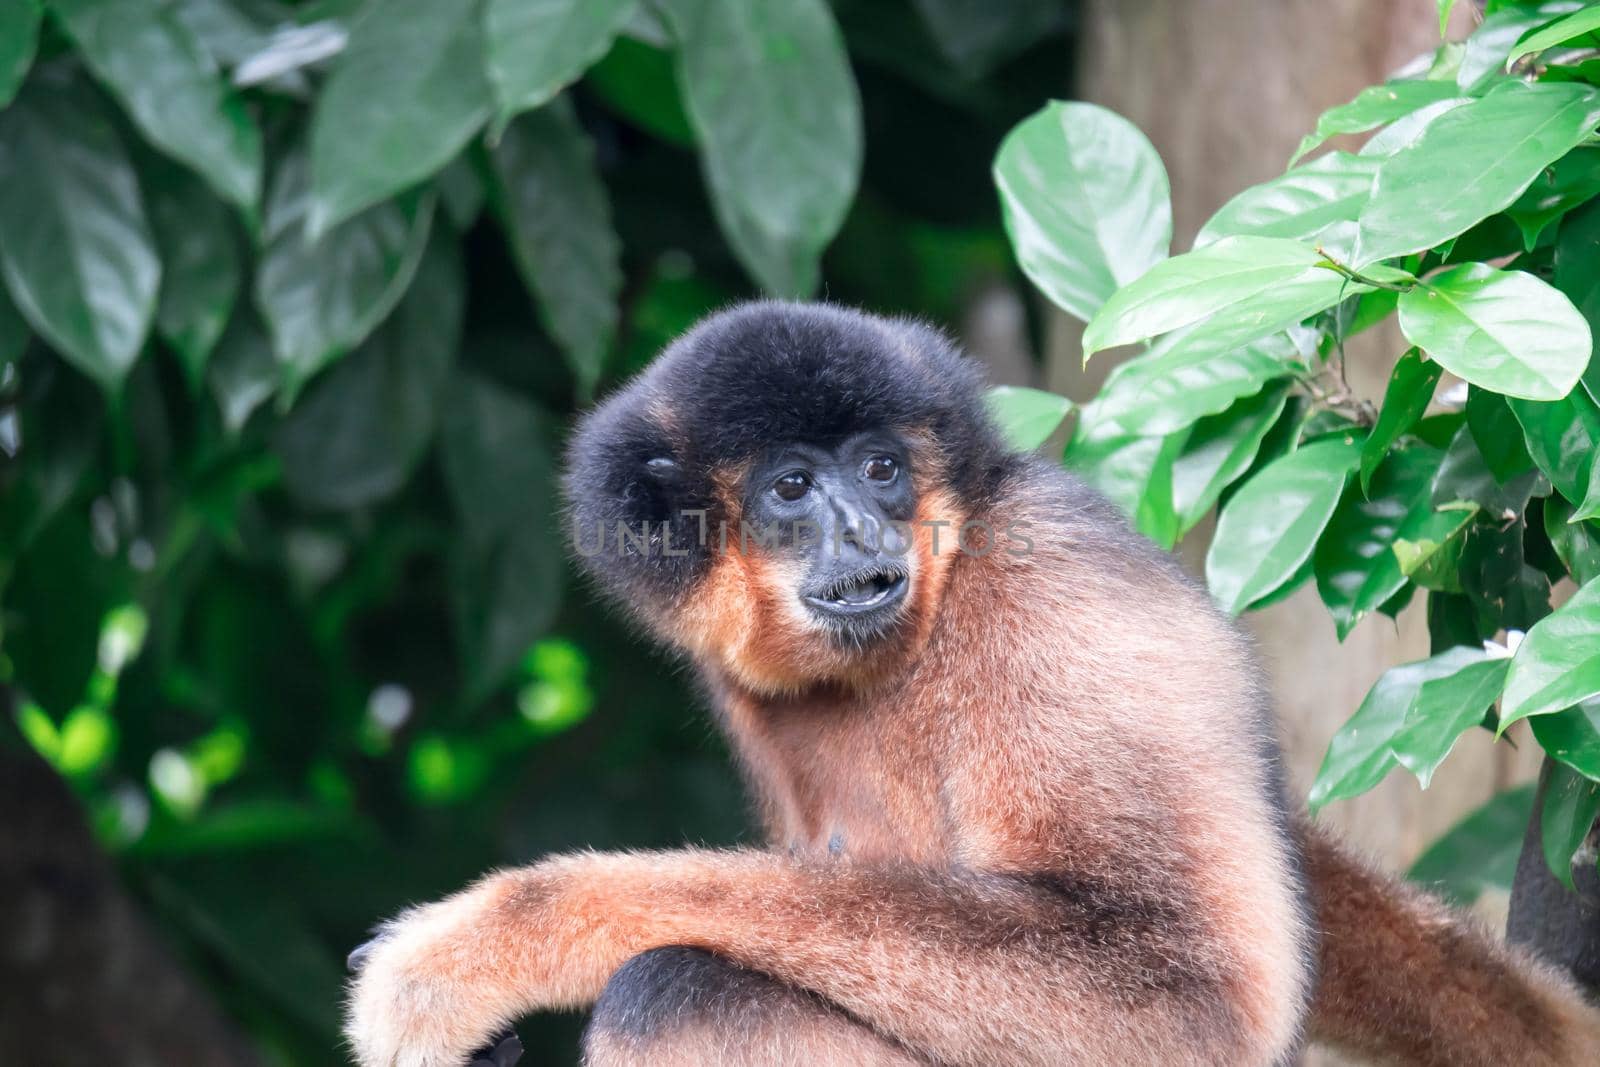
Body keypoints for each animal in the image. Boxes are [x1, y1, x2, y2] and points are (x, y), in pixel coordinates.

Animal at [344, 300, 1600, 1067]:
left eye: (880, 468)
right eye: (793, 486)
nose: (863, 528)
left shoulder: (1062, 602)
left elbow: (1180, 997)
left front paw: (483, 945)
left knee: (679, 987)